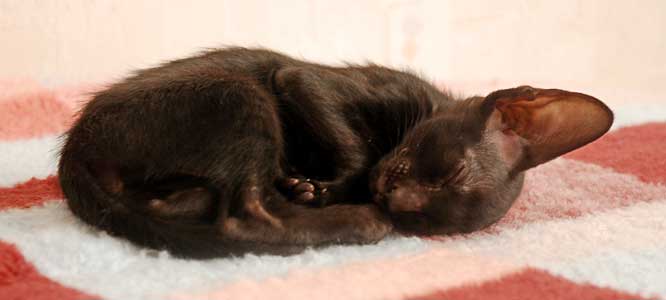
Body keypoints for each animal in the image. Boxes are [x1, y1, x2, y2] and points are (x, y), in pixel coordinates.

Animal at [58, 47, 612, 258]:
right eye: (449, 169)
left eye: (424, 223)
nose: (395, 202)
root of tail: (75, 149)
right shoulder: (303, 79)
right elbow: (357, 152)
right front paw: (336, 186)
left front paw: (321, 188)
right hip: (241, 94)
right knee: (243, 218)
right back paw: (353, 218)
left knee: (206, 208)